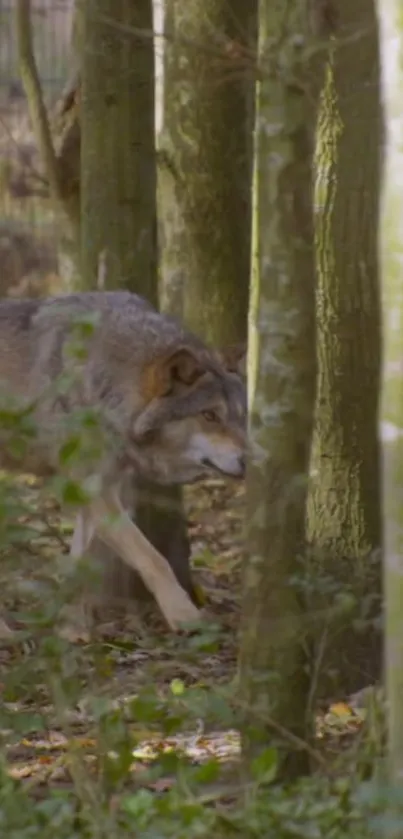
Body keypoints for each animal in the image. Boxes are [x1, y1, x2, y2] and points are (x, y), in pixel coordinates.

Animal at [0, 294, 248, 632]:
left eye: (240, 416)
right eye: (209, 416)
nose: (249, 460)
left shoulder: (99, 490)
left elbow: (77, 563)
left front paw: (71, 627)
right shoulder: (95, 492)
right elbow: (154, 558)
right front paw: (183, 614)